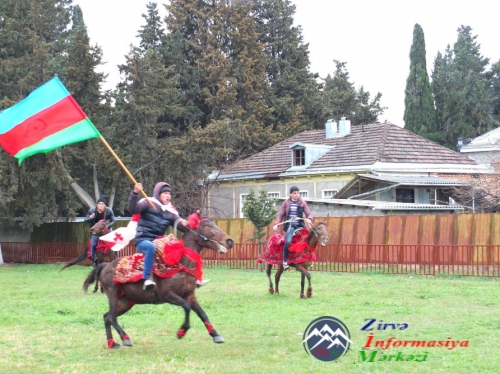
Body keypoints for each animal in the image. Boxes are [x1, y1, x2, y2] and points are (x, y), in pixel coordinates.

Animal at [84, 215, 234, 350]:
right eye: (208, 225)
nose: (229, 241)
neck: (180, 263)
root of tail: (105, 266)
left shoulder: (190, 295)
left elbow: (202, 313)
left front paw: (216, 335)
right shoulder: (168, 295)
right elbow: (187, 307)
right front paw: (181, 331)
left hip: (125, 302)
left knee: (107, 316)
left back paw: (112, 343)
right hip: (113, 295)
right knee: (111, 317)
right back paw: (125, 338)